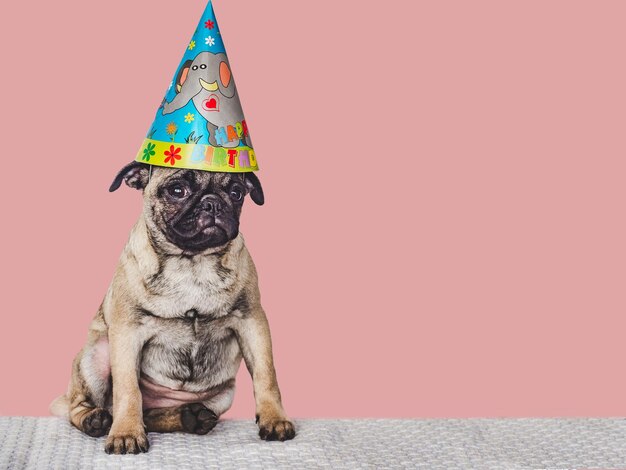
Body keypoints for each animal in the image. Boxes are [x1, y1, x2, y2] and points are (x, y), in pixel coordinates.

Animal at [50, 161, 294, 452]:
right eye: (177, 190)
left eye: (236, 193)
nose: (213, 203)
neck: (192, 264)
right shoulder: (127, 333)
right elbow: (128, 390)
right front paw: (126, 433)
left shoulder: (252, 322)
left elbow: (266, 376)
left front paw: (274, 419)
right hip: (96, 356)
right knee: (78, 406)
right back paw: (95, 420)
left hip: (221, 396)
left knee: (152, 416)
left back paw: (191, 417)